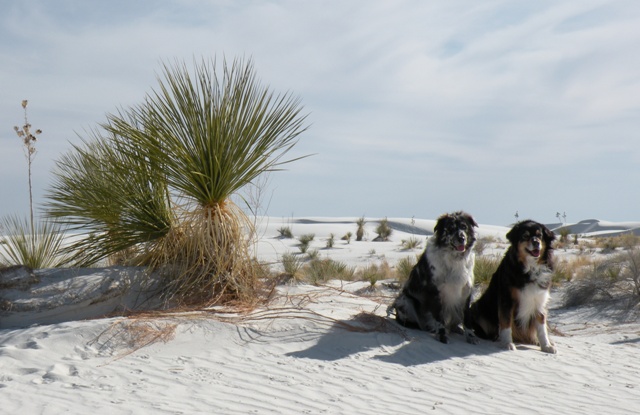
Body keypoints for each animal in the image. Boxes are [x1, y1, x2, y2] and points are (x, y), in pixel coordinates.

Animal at [388, 211, 478, 344]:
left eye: (464, 227)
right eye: (450, 228)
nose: (462, 238)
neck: (454, 258)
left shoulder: (465, 291)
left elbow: (467, 318)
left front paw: (470, 336)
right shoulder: (435, 292)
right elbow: (439, 319)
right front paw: (441, 335)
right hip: (404, 300)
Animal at [468, 221, 556, 354]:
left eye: (540, 235)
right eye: (525, 236)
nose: (536, 242)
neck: (530, 268)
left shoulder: (540, 300)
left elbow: (542, 328)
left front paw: (546, 345)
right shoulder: (506, 300)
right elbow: (506, 324)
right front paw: (507, 344)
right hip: (477, 307)